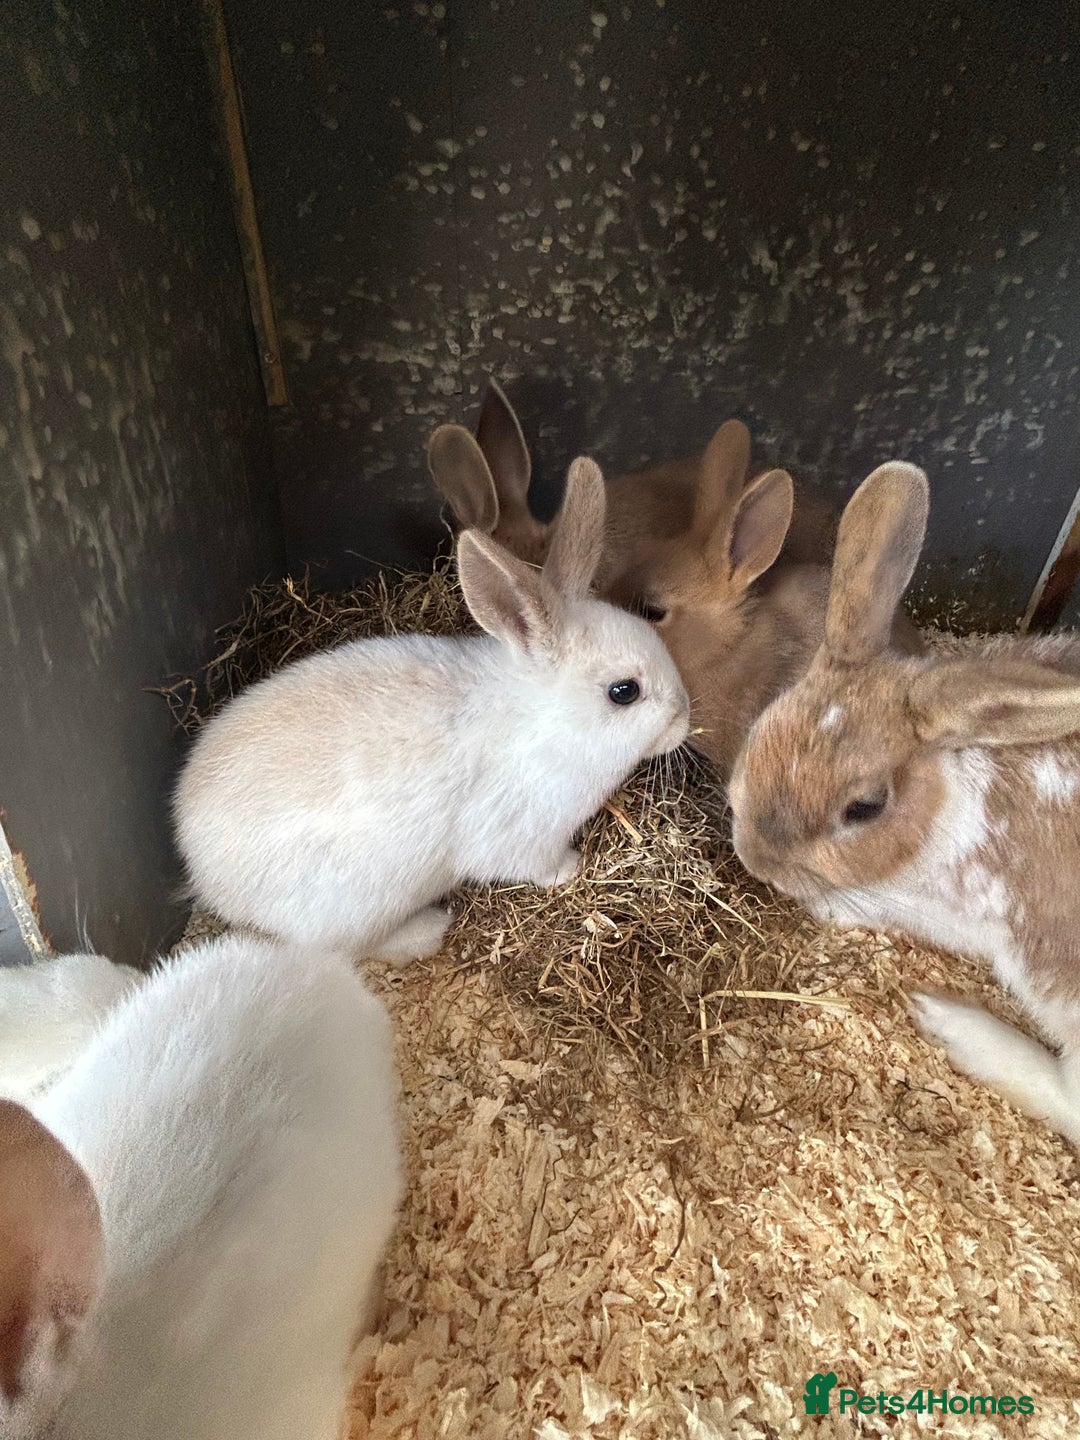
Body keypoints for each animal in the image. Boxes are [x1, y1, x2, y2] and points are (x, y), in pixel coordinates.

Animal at [174, 456, 691, 957]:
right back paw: (430, 929)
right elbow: (538, 865)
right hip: (359, 909)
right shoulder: (522, 835)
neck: (546, 719)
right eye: (624, 692)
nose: (684, 718)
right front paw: (571, 868)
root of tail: (201, 871)